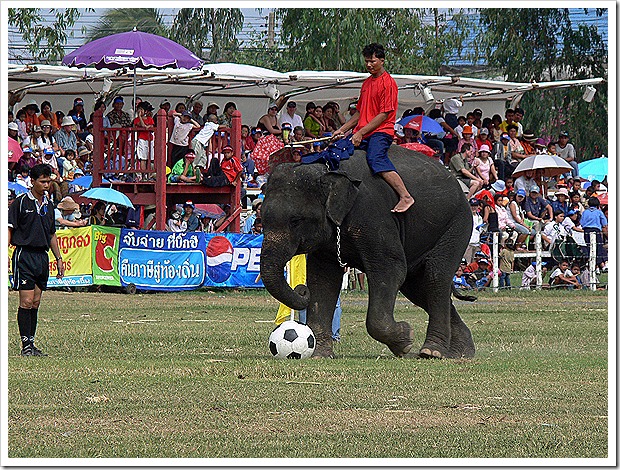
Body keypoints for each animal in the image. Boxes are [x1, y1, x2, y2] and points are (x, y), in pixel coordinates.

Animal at [260, 145, 478, 358]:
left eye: (296, 220)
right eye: (262, 219)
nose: (301, 289)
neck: (326, 170)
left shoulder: (373, 215)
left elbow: (390, 269)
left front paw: (405, 341)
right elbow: (323, 279)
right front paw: (320, 355)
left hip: (456, 226)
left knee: (435, 279)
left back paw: (431, 352)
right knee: (417, 288)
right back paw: (460, 352)